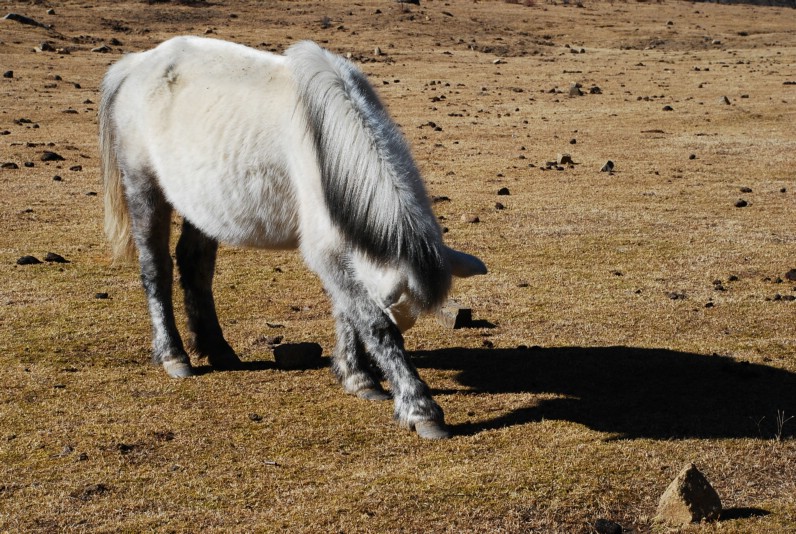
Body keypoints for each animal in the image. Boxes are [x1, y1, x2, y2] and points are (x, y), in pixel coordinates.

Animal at [99, 36, 486, 440]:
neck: (331, 143)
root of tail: (135, 65)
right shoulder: (326, 251)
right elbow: (368, 321)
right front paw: (419, 408)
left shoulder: (342, 248)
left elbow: (347, 311)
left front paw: (357, 377)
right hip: (143, 185)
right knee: (156, 268)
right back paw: (173, 355)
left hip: (200, 203)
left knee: (194, 265)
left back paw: (219, 350)